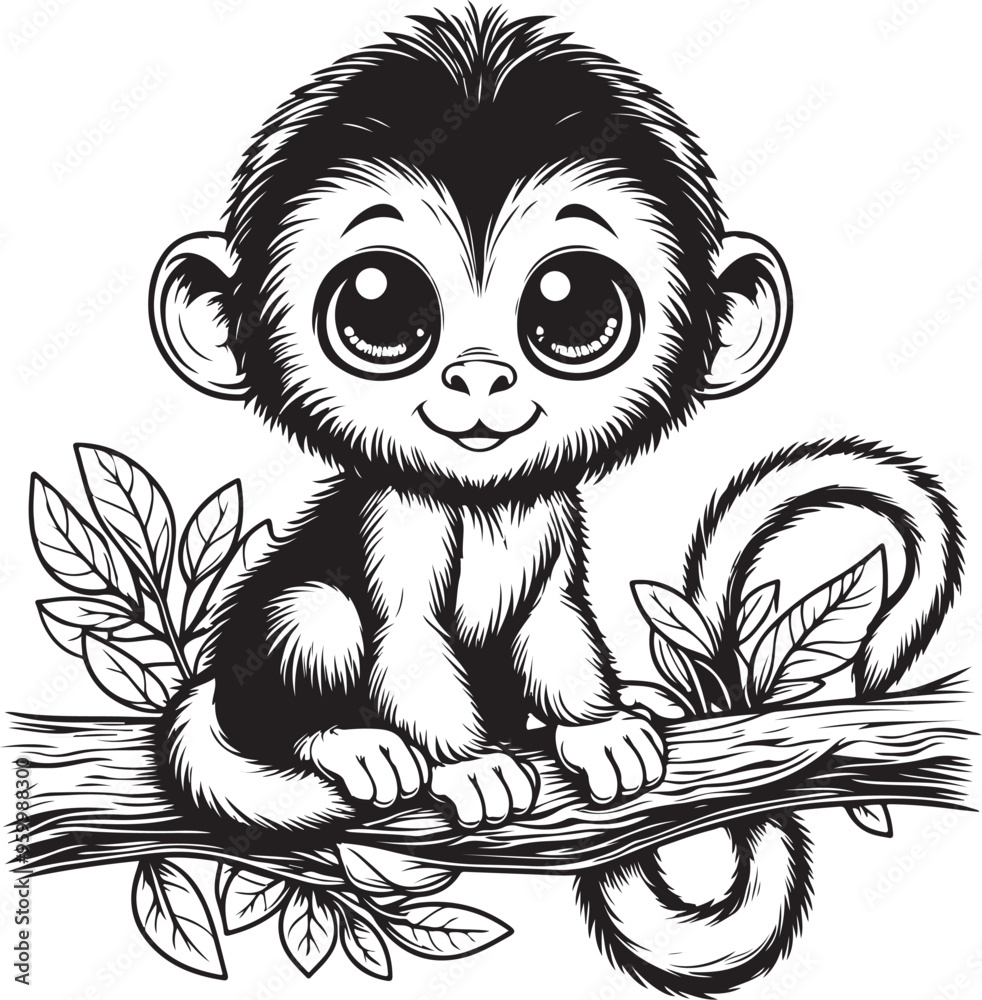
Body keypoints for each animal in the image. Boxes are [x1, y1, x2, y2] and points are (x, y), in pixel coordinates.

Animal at [148, 8, 961, 992]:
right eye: (378, 308)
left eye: (571, 308)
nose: (479, 377)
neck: (479, 500)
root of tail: (210, 687)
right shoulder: (398, 517)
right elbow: (406, 636)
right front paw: (465, 767)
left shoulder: (549, 515)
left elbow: (553, 624)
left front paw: (598, 729)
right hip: (260, 673)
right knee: (314, 620)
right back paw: (344, 743)